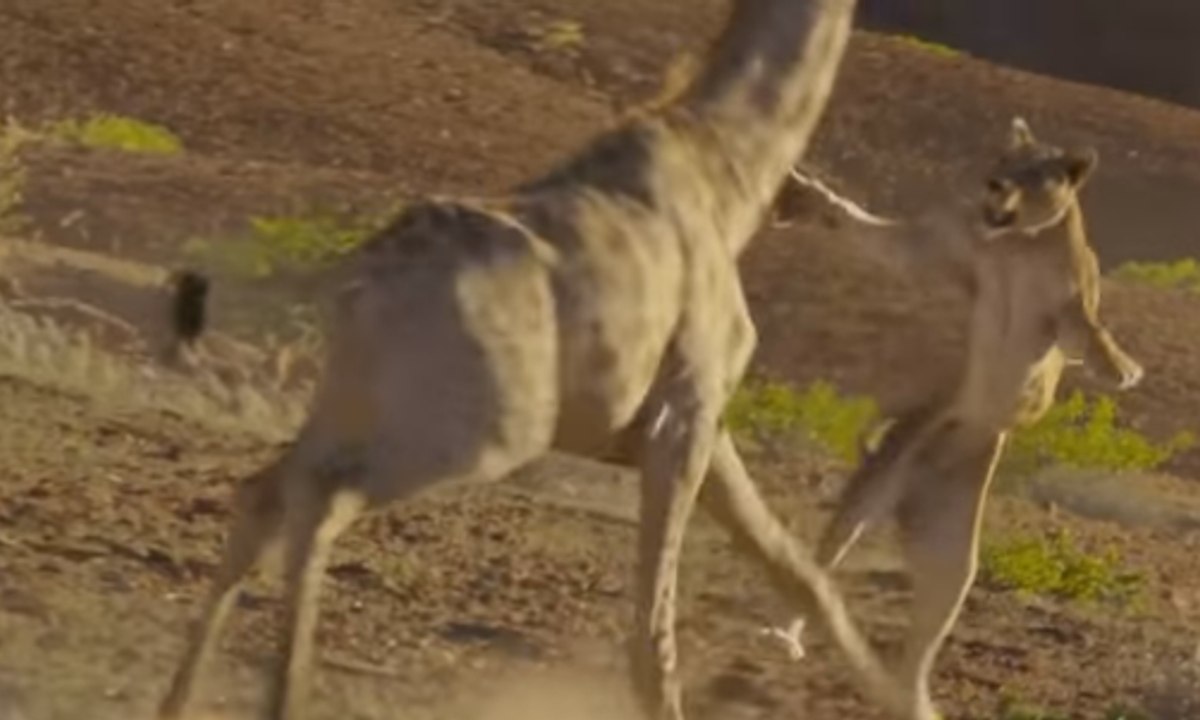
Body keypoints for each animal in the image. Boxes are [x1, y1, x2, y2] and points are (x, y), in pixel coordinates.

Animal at [153, 1, 933, 720]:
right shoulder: (686, 409)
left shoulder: (696, 422)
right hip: (488, 427)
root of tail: (359, 286)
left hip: (354, 401)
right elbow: (653, 637)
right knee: (320, 500)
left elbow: (805, 577)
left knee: (263, 494)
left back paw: (181, 704)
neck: (728, 176)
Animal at [761, 118, 1144, 717]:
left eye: (1035, 172)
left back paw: (912, 698)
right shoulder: (942, 250)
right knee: (823, 562)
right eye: (1004, 159)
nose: (993, 184)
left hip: (952, 545)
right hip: (875, 485)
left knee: (932, 616)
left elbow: (1090, 330)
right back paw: (787, 637)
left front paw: (1122, 369)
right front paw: (807, 196)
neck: (1018, 245)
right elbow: (878, 236)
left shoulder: (1071, 307)